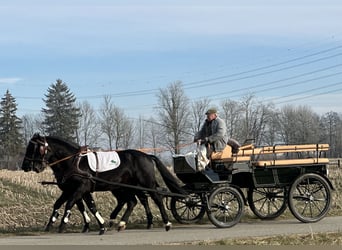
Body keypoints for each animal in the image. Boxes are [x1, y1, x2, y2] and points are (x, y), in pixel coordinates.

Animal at [21, 134, 187, 233]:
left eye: (34, 148)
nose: (26, 166)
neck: (74, 162)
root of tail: (147, 155)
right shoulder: (72, 189)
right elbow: (80, 206)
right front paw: (51, 223)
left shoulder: (81, 187)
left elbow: (70, 204)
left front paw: (63, 223)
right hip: (126, 187)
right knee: (132, 202)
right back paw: (121, 223)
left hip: (146, 183)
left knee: (156, 198)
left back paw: (166, 223)